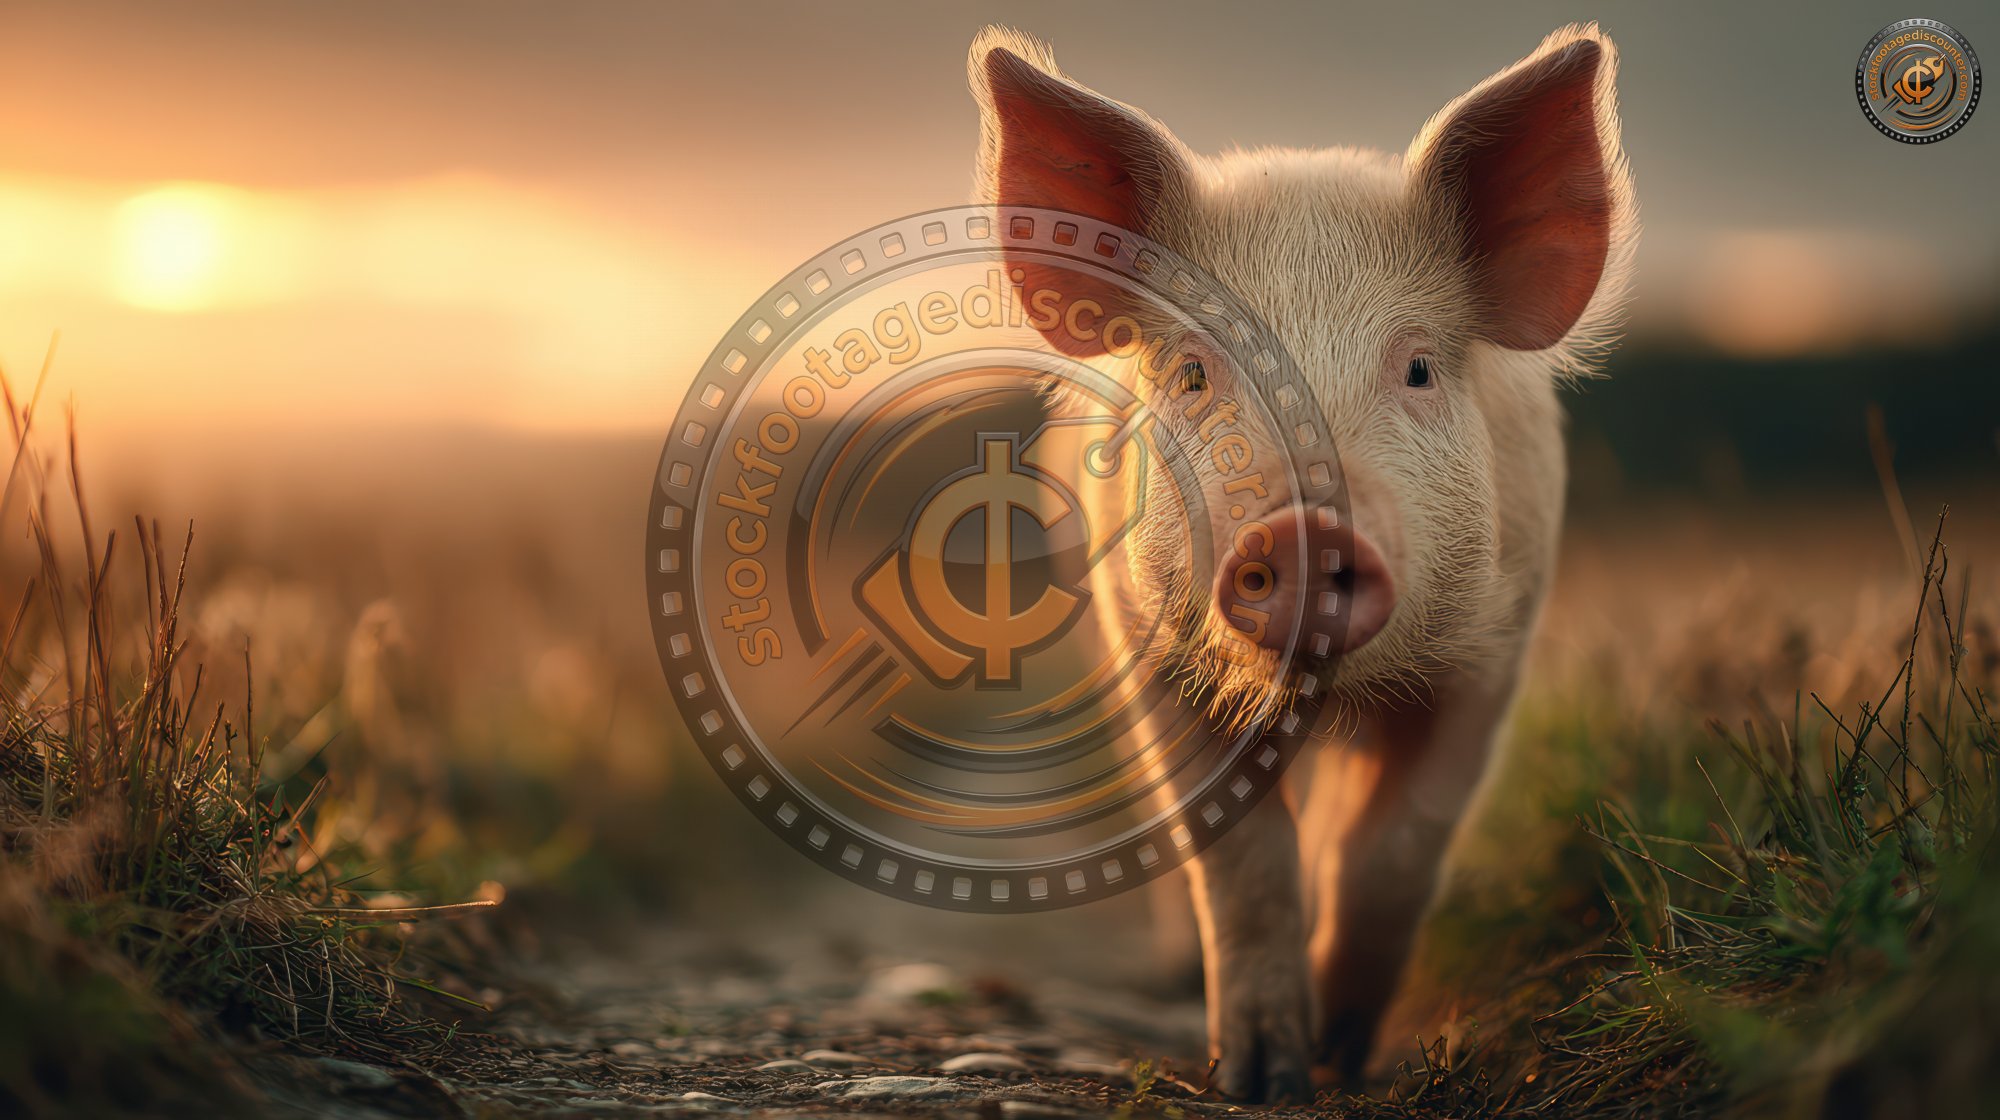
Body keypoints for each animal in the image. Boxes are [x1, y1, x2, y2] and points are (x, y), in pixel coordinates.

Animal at [966, 23, 1636, 1100]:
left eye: (1417, 368)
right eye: (1193, 372)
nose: (1302, 530)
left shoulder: (1494, 655)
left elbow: (1395, 847)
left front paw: (1342, 1057)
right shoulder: (1150, 654)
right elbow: (1241, 863)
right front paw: (1260, 1079)